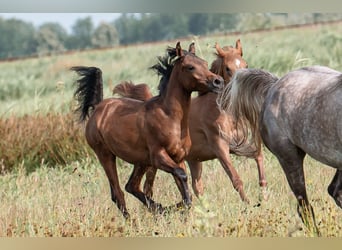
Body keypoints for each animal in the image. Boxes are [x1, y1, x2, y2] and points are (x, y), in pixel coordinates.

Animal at [71, 41, 224, 219]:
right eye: (190, 67)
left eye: (205, 63)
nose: (218, 81)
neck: (169, 117)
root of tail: (98, 108)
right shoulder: (158, 156)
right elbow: (181, 175)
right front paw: (176, 206)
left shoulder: (178, 157)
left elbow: (182, 181)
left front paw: (178, 207)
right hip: (105, 155)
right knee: (118, 193)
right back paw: (136, 219)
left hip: (141, 161)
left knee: (131, 186)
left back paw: (157, 208)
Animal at [113, 39, 266, 203]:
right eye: (228, 68)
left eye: (246, 65)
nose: (243, 87)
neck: (221, 111)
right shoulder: (220, 146)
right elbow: (235, 178)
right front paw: (249, 204)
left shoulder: (238, 143)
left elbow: (258, 156)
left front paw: (263, 195)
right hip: (155, 162)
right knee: (148, 187)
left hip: (193, 160)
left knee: (196, 186)